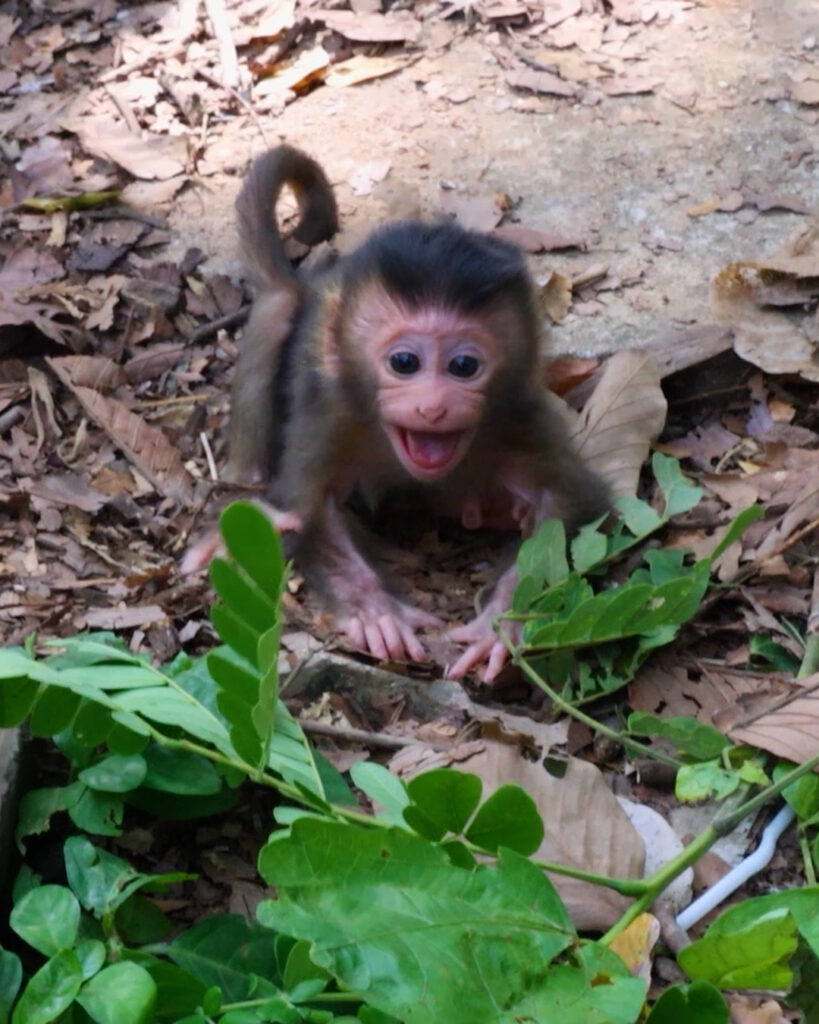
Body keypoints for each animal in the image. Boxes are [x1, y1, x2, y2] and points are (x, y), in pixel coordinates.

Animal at [186, 144, 610, 682]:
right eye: (404, 362)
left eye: (464, 366)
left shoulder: (519, 415)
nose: (433, 405)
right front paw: (376, 612)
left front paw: (502, 624)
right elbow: (305, 507)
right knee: (278, 308)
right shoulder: (333, 414)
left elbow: (570, 503)